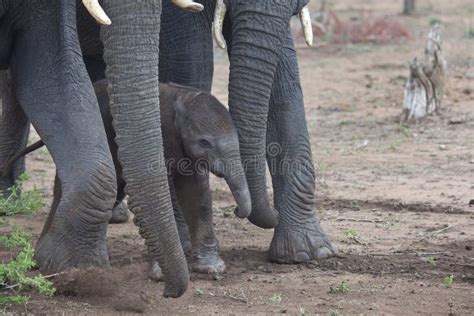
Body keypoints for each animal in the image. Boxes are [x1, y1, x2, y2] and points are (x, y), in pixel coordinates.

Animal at [4, 82, 252, 276]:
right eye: (204, 142)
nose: (236, 211)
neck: (182, 97)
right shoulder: (163, 138)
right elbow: (168, 194)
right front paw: (161, 272)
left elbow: (196, 195)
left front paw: (212, 268)